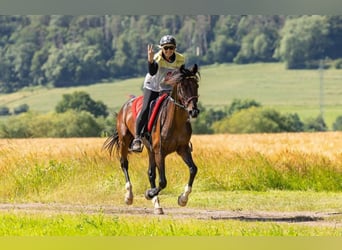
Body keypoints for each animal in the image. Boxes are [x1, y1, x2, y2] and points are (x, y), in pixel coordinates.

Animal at [104, 63, 200, 214]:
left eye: (196, 85)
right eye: (183, 87)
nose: (193, 111)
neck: (175, 121)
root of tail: (126, 104)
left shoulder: (183, 149)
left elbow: (193, 169)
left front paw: (183, 199)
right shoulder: (159, 151)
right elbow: (163, 181)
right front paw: (149, 193)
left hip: (150, 150)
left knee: (150, 173)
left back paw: (157, 205)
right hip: (125, 141)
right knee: (124, 164)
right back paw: (129, 196)